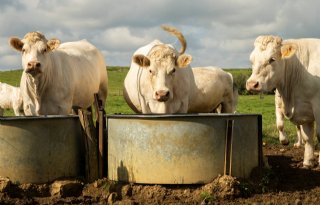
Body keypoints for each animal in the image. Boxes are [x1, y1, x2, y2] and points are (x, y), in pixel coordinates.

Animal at [248, 34, 320, 167]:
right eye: (252, 60)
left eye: (272, 59)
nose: (251, 84)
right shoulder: (304, 109)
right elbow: (306, 137)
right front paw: (308, 162)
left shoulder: (317, 107)